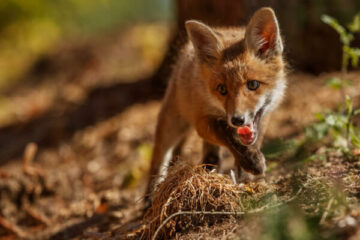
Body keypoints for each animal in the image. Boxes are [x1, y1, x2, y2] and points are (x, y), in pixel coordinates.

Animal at [145, 7, 286, 201]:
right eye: (222, 89)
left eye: (253, 84)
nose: (237, 120)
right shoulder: (202, 121)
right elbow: (227, 135)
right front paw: (250, 161)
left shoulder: (265, 115)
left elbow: (252, 142)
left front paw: (246, 174)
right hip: (172, 122)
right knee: (159, 157)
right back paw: (150, 197)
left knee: (210, 154)